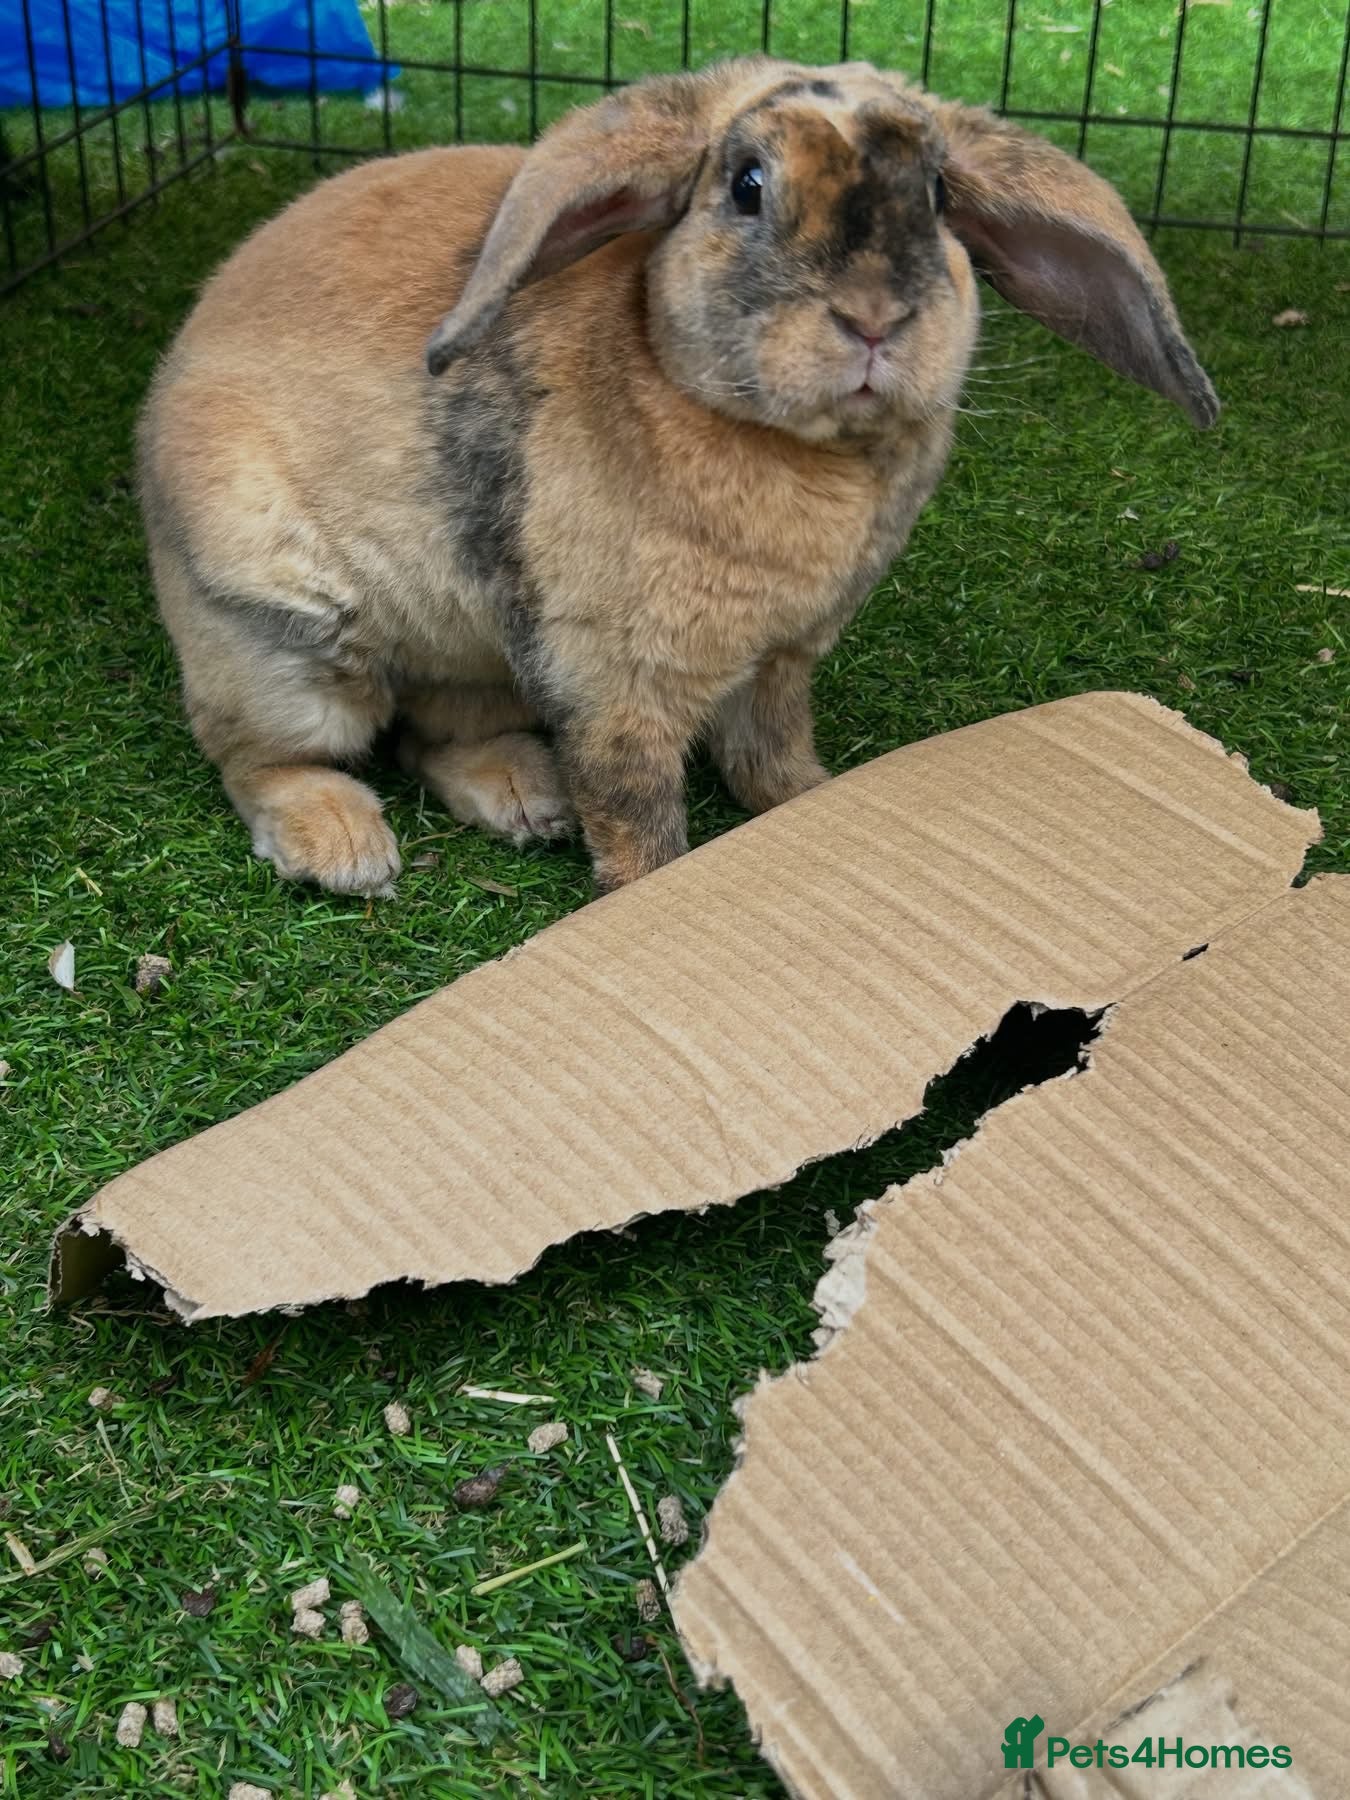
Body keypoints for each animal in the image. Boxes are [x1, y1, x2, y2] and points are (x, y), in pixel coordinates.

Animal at [138, 56, 1217, 896]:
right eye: (746, 184)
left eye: (941, 196)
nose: (873, 318)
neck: (797, 447)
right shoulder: (618, 682)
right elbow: (636, 809)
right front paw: (649, 892)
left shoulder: (779, 662)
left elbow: (768, 755)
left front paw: (818, 802)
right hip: (286, 646)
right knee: (261, 758)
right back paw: (344, 848)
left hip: (475, 653)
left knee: (435, 735)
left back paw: (523, 798)